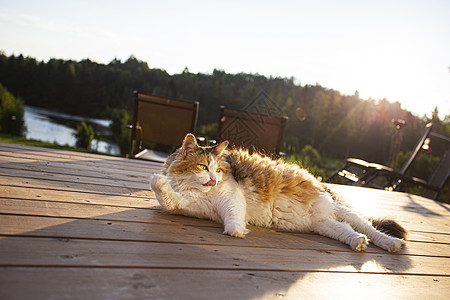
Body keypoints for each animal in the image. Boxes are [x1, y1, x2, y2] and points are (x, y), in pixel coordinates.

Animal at [151, 134, 408, 251]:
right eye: (203, 167)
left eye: (218, 169)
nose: (213, 180)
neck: (192, 189)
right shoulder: (188, 204)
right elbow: (168, 197)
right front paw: (159, 181)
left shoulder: (230, 197)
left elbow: (233, 215)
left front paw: (236, 231)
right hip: (324, 224)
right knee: (349, 232)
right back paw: (358, 243)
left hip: (342, 211)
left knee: (371, 228)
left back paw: (391, 244)